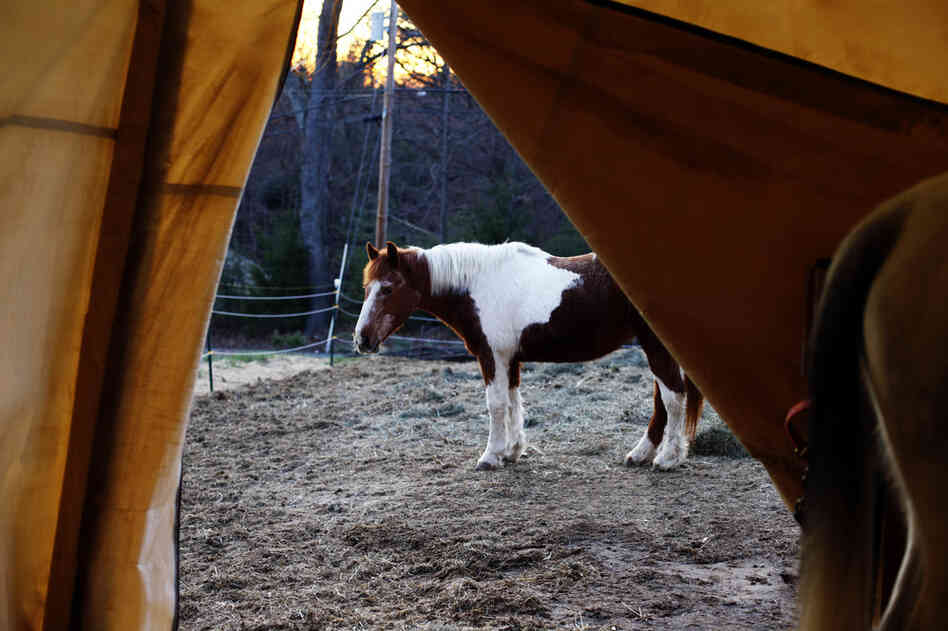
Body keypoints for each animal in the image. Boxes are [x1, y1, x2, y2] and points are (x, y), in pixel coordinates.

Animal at [353, 240, 704, 471]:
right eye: (366, 288)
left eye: (388, 288)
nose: (362, 339)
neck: (477, 285)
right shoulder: (510, 359)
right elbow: (513, 402)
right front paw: (512, 451)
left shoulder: (492, 356)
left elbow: (496, 404)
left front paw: (491, 456)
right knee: (663, 400)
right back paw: (642, 453)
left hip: (655, 346)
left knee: (673, 397)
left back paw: (668, 458)